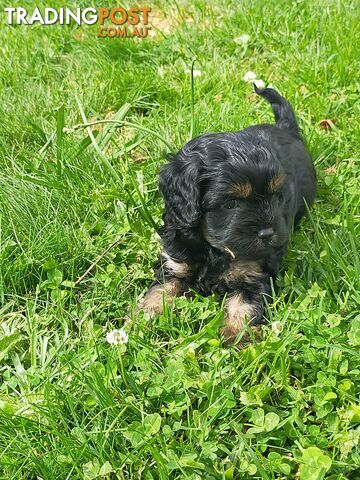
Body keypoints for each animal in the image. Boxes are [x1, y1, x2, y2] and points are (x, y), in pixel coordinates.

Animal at [138, 84, 316, 344]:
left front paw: (236, 337)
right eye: (230, 203)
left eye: (277, 197)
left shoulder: (254, 272)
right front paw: (142, 318)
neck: (213, 249)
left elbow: (243, 305)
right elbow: (160, 289)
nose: (267, 234)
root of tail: (286, 128)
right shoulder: (175, 261)